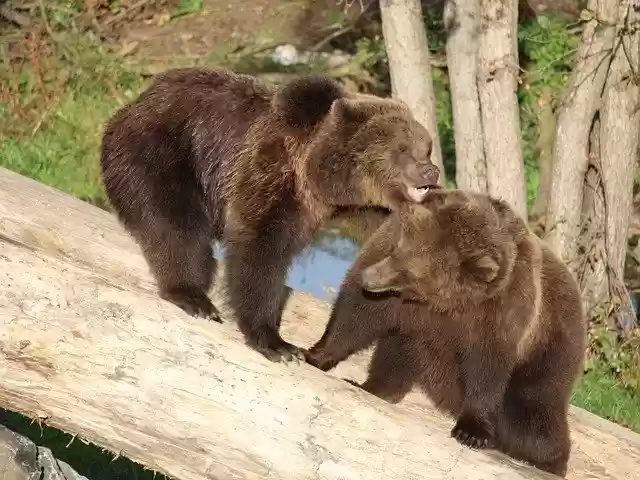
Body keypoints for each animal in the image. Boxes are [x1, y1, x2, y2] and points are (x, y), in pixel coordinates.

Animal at [99, 67, 440, 363]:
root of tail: (140, 98)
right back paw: (191, 295)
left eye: (426, 147)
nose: (431, 170)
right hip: (162, 152)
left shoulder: (362, 208)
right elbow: (259, 248)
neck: (319, 179)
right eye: (402, 148)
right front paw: (277, 343)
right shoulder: (270, 174)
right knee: (177, 225)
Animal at [305, 189, 586, 477]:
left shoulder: (499, 311)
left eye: (410, 271)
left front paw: (471, 432)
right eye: (396, 248)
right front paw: (316, 354)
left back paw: (550, 460)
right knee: (397, 353)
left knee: (532, 417)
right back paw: (376, 388)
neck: (443, 302)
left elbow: (487, 368)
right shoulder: (402, 301)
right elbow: (357, 314)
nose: (368, 278)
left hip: (550, 352)